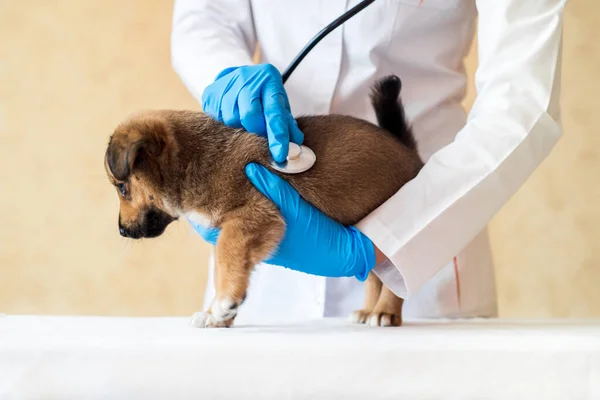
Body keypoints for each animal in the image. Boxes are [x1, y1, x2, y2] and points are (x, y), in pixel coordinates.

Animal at [104, 76, 422, 328]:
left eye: (123, 188)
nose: (121, 231)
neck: (196, 159)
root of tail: (410, 153)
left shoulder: (251, 217)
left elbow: (227, 256)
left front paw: (224, 303)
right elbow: (228, 266)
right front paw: (217, 315)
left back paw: (385, 312)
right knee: (378, 275)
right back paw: (369, 310)